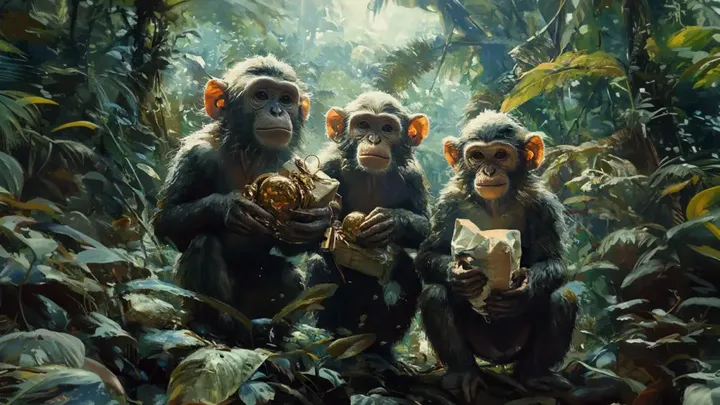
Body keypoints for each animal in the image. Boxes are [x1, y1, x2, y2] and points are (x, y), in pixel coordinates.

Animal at [152, 55, 335, 341]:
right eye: (261, 95)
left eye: (286, 99)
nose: (276, 111)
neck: (248, 150)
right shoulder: (195, 156)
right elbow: (165, 218)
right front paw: (230, 207)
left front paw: (315, 222)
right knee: (204, 244)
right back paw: (214, 326)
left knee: (288, 275)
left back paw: (271, 333)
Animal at [304, 91, 431, 363]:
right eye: (362, 125)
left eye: (387, 128)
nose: (374, 139)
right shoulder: (327, 166)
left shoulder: (414, 175)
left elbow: (426, 227)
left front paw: (390, 221)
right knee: (320, 264)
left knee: (407, 274)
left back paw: (382, 351)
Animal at [415, 111, 577, 401]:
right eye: (477, 155)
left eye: (501, 155)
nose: (488, 171)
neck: (494, 204)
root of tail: (496, 358)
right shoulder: (447, 204)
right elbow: (428, 254)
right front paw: (460, 276)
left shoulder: (543, 205)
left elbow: (555, 260)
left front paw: (524, 287)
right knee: (434, 295)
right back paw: (464, 374)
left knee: (563, 298)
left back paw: (535, 375)